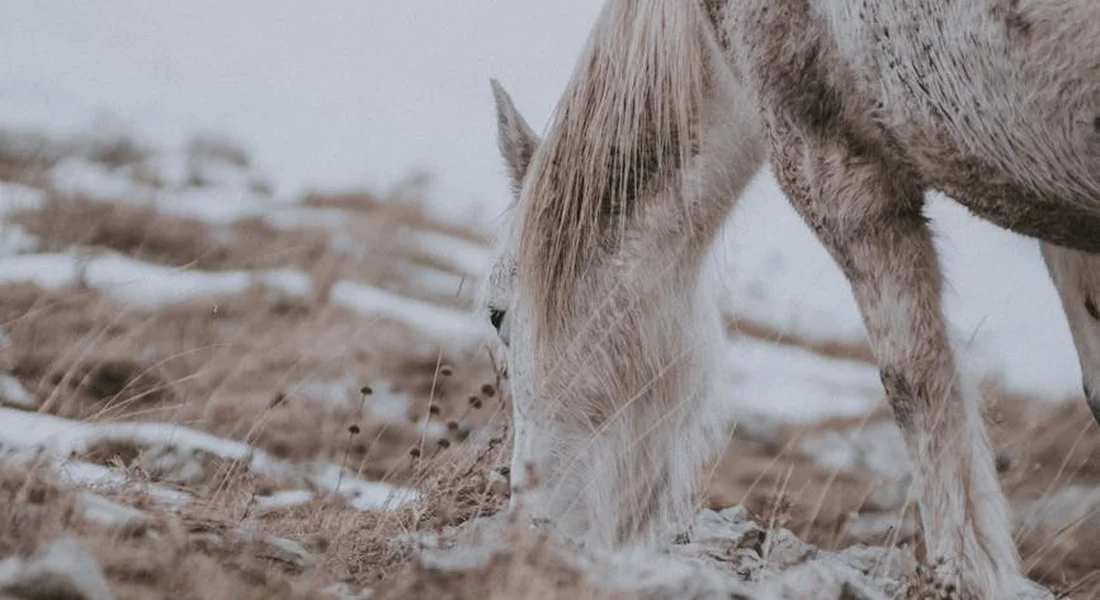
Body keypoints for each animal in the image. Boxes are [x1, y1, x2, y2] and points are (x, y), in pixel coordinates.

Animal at [479, 1, 1100, 597]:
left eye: (495, 315)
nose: (528, 530)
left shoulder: (829, 161)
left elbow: (917, 390)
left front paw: (963, 578)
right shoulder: (1056, 215)